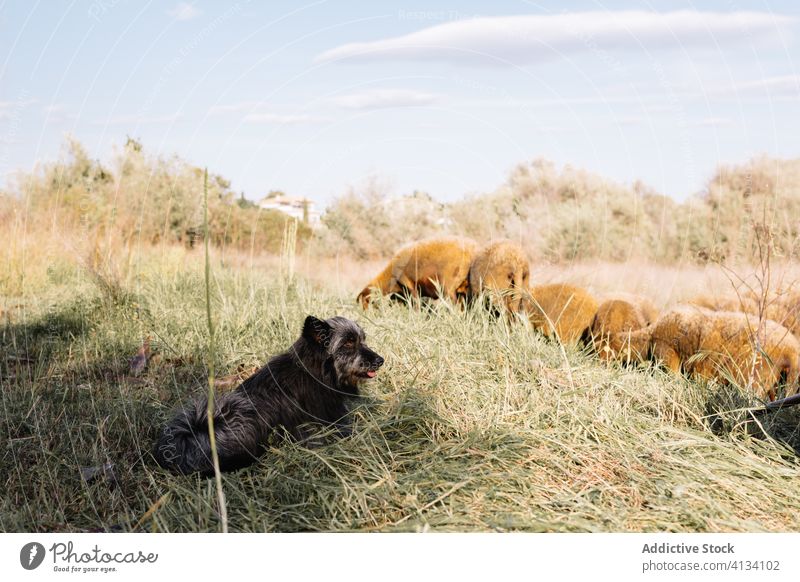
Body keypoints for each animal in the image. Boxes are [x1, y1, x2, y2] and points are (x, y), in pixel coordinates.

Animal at [155, 318, 386, 476]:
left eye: (362, 340)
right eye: (348, 343)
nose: (380, 360)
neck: (313, 371)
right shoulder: (333, 418)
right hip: (238, 411)